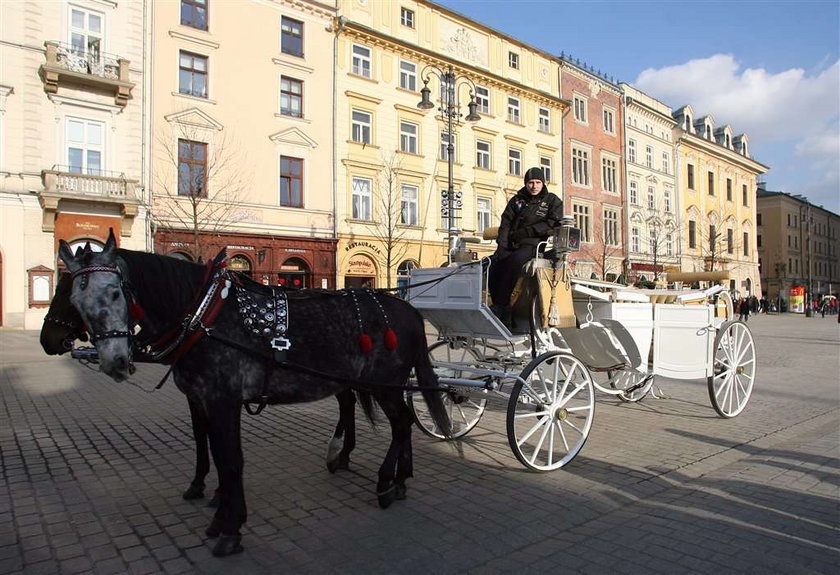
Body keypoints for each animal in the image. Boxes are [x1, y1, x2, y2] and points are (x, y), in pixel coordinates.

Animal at [41, 272, 370, 502]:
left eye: (68, 295)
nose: (47, 339)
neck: (200, 320)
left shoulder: (219, 396)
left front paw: (218, 493)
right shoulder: (196, 397)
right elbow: (203, 437)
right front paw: (199, 484)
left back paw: (340, 453)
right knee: (348, 402)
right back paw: (341, 454)